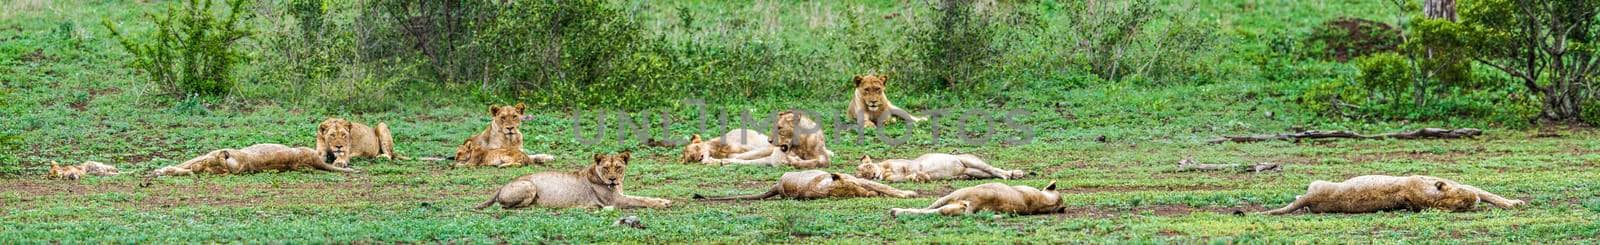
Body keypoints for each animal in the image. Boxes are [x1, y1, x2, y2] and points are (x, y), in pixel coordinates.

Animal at [473, 152, 675, 209]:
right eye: (606, 168)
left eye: (618, 167)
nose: (612, 179)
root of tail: (501, 186)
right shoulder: (616, 201)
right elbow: (640, 200)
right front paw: (662, 204)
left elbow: (642, 196)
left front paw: (664, 200)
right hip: (529, 185)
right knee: (506, 206)